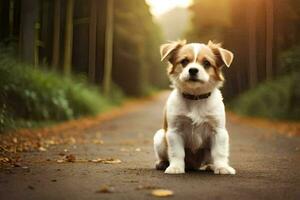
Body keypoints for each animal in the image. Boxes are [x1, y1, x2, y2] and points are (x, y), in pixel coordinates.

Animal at [154, 39, 236, 174]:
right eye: (184, 61)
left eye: (206, 63)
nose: (193, 70)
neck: (195, 97)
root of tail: (194, 166)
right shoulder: (174, 132)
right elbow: (177, 153)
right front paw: (176, 167)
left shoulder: (218, 131)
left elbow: (219, 152)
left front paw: (222, 167)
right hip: (160, 137)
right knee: (165, 156)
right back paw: (162, 163)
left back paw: (211, 166)